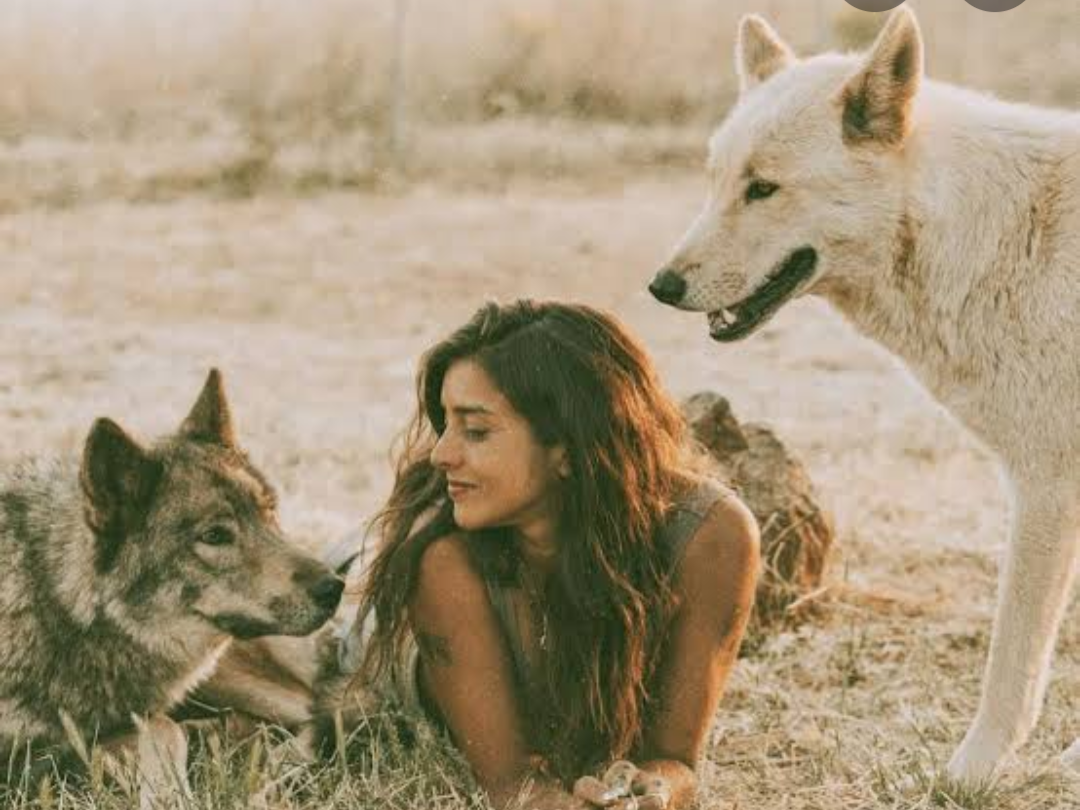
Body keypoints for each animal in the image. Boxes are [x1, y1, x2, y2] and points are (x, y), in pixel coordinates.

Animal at [0, 369, 345, 804]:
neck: (51, 601)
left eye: (269, 511)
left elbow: (164, 728)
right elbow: (161, 728)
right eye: (214, 536)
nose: (334, 587)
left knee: (319, 712)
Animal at [648, 7, 1080, 783]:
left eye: (763, 188)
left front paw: (968, 777)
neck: (992, 235)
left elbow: (1011, 663)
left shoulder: (1046, 488)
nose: (661, 286)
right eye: (715, 181)